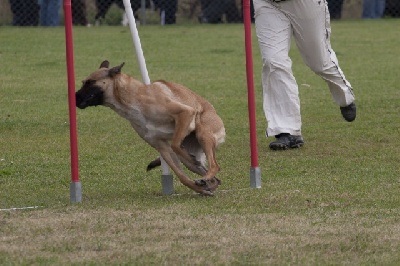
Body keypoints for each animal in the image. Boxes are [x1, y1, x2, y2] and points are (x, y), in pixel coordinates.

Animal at [75, 60, 225, 195]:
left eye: (90, 82)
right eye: (84, 82)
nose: (74, 98)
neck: (132, 100)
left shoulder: (185, 112)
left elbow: (175, 143)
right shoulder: (162, 147)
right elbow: (182, 176)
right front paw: (199, 188)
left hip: (203, 134)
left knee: (214, 165)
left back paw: (205, 177)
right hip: (190, 156)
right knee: (215, 178)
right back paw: (206, 182)